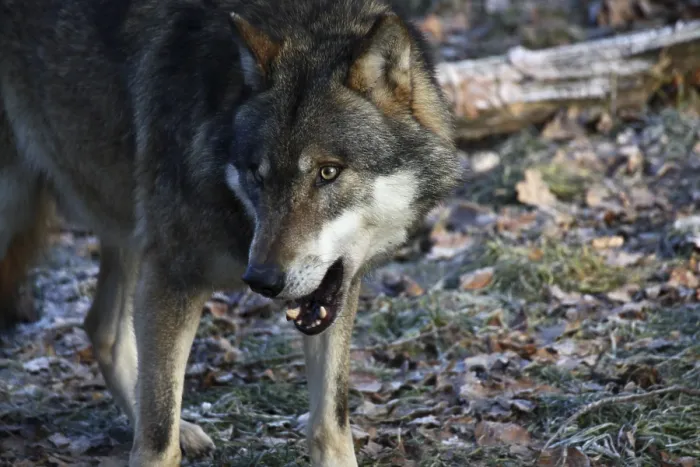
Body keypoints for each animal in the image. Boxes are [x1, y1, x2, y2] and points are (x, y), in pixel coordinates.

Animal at [0, 0, 458, 465]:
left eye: (328, 173)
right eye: (257, 175)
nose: (262, 280)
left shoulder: (333, 292)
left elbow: (330, 423)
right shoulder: (171, 275)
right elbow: (157, 440)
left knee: (102, 330)